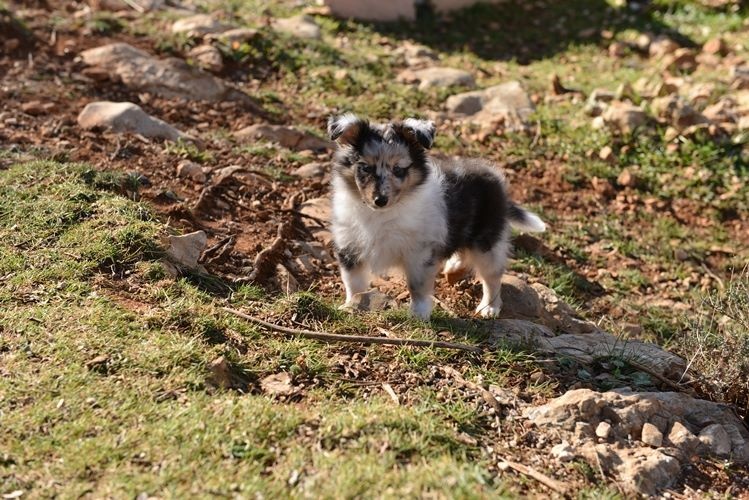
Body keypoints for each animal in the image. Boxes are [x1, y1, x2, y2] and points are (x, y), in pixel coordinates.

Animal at [328, 114, 544, 320]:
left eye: (398, 169)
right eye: (365, 168)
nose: (380, 200)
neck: (381, 215)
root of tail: (491, 174)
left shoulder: (419, 253)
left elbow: (417, 286)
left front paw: (419, 315)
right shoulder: (349, 246)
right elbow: (353, 282)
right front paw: (351, 305)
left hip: (487, 242)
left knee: (492, 276)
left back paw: (489, 307)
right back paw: (455, 266)